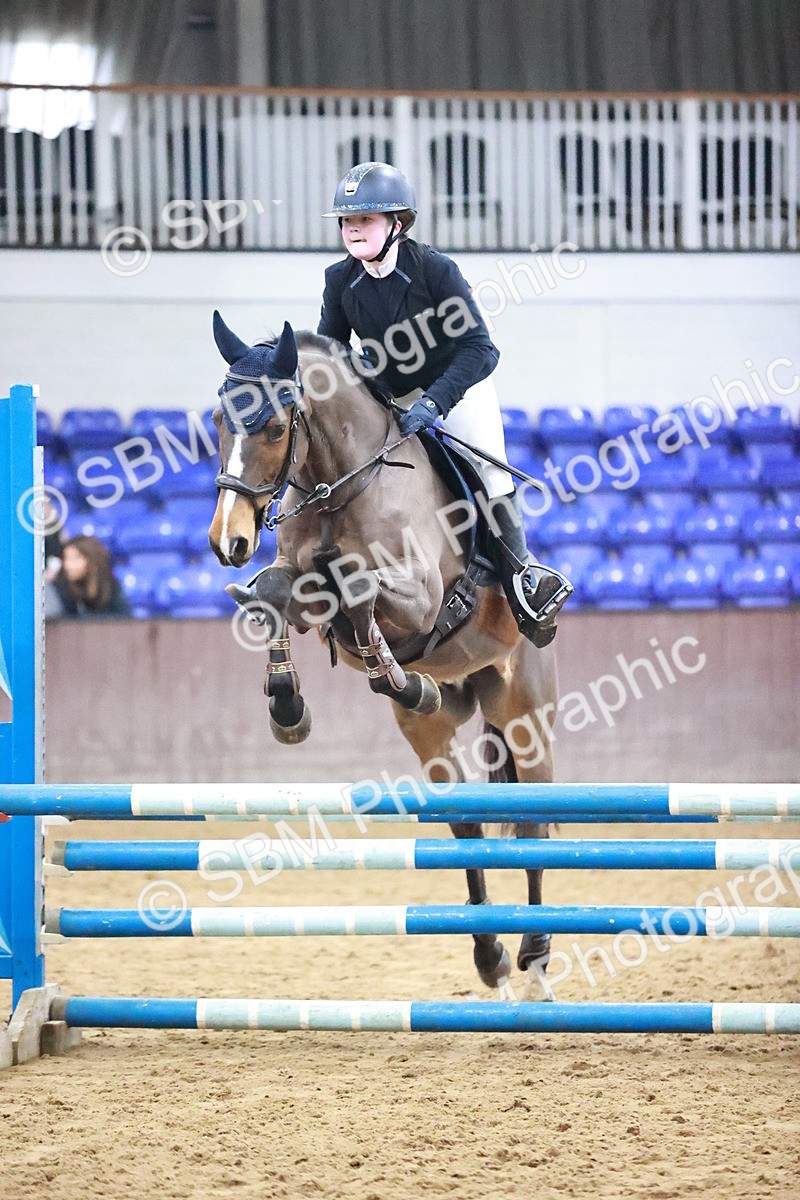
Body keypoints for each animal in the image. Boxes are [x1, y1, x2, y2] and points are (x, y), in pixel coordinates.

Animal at [208, 312, 558, 1000]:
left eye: (273, 426)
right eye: (217, 421)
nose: (226, 541)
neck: (339, 486)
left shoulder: (420, 597)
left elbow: (357, 585)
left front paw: (390, 672)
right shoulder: (296, 577)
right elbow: (279, 591)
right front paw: (287, 707)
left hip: (523, 710)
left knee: (533, 821)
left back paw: (533, 956)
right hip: (435, 731)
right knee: (466, 824)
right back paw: (491, 956)